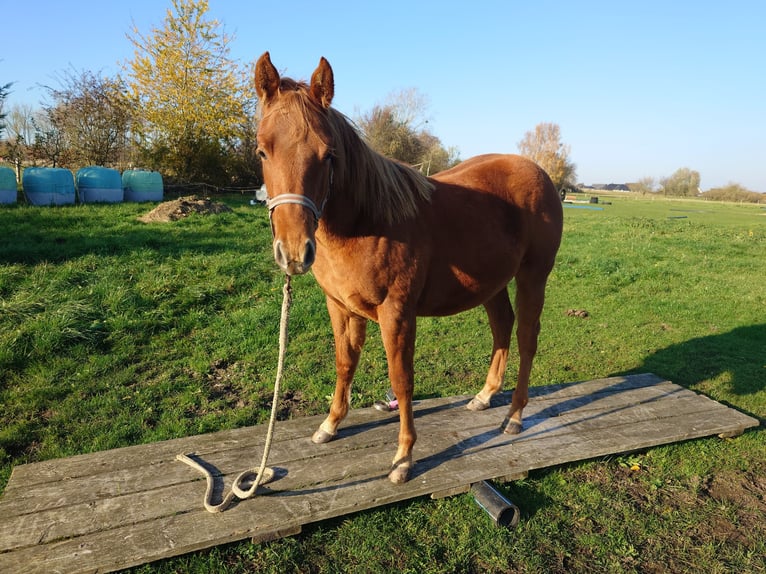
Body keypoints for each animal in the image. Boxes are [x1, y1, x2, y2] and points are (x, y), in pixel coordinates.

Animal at [254, 52, 563, 484]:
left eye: (328, 153)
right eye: (262, 152)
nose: (295, 252)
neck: (367, 221)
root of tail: (539, 173)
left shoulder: (396, 313)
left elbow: (402, 381)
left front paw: (403, 457)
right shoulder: (340, 307)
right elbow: (344, 364)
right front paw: (330, 425)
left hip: (533, 277)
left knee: (527, 339)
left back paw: (515, 416)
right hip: (493, 283)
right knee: (502, 326)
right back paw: (485, 396)